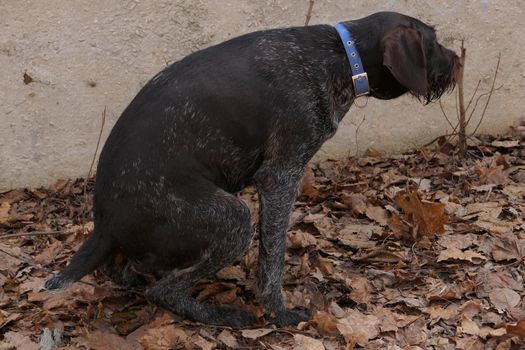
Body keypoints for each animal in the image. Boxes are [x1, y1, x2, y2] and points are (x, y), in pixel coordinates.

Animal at [44, 11, 458, 328]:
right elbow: (272, 259)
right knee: (161, 290)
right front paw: (278, 311)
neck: (342, 56)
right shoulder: (280, 177)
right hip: (233, 217)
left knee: (125, 271)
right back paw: (220, 314)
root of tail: (104, 225)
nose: (458, 60)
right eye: (433, 42)